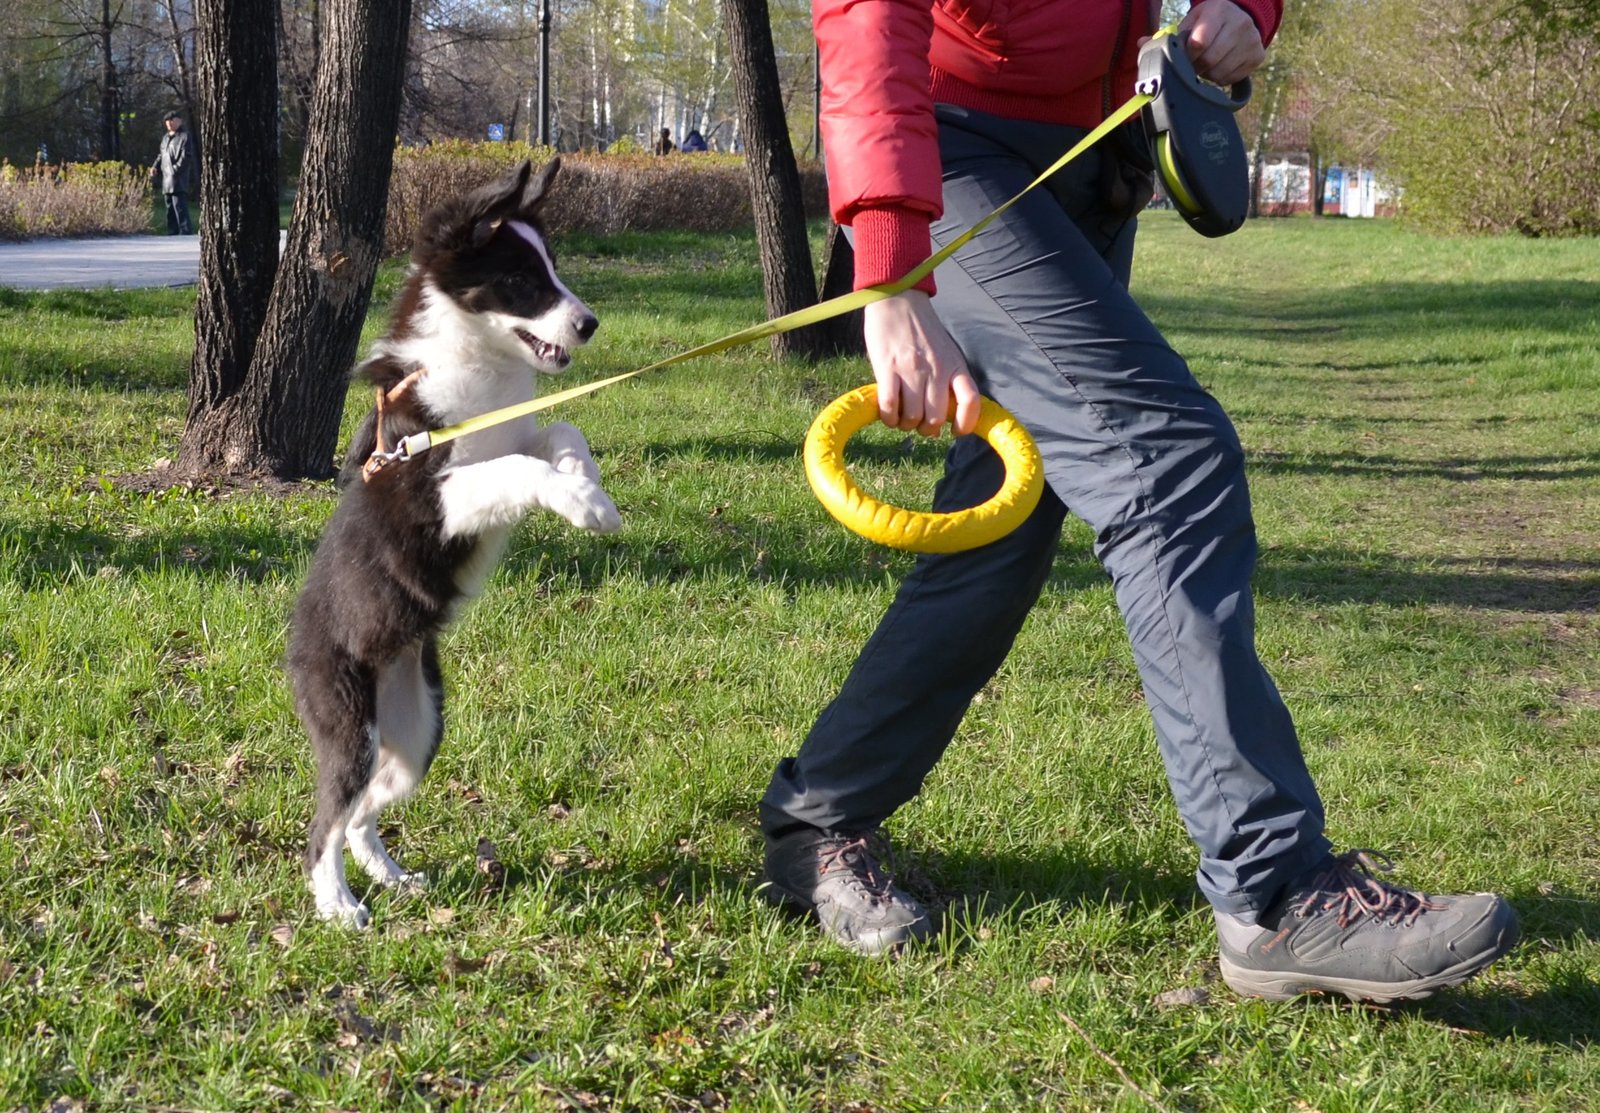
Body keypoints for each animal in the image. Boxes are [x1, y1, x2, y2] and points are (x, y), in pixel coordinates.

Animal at [288, 154, 617, 921]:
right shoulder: (435, 493)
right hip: (349, 723)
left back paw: (390, 875)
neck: (481, 371)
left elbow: (561, 432)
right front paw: (584, 504)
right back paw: (338, 906)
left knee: (361, 813)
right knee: (324, 823)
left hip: (416, 733)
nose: (589, 324)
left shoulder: (520, 430)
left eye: (553, 267)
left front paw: (589, 487)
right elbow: (518, 468)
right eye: (521, 280)